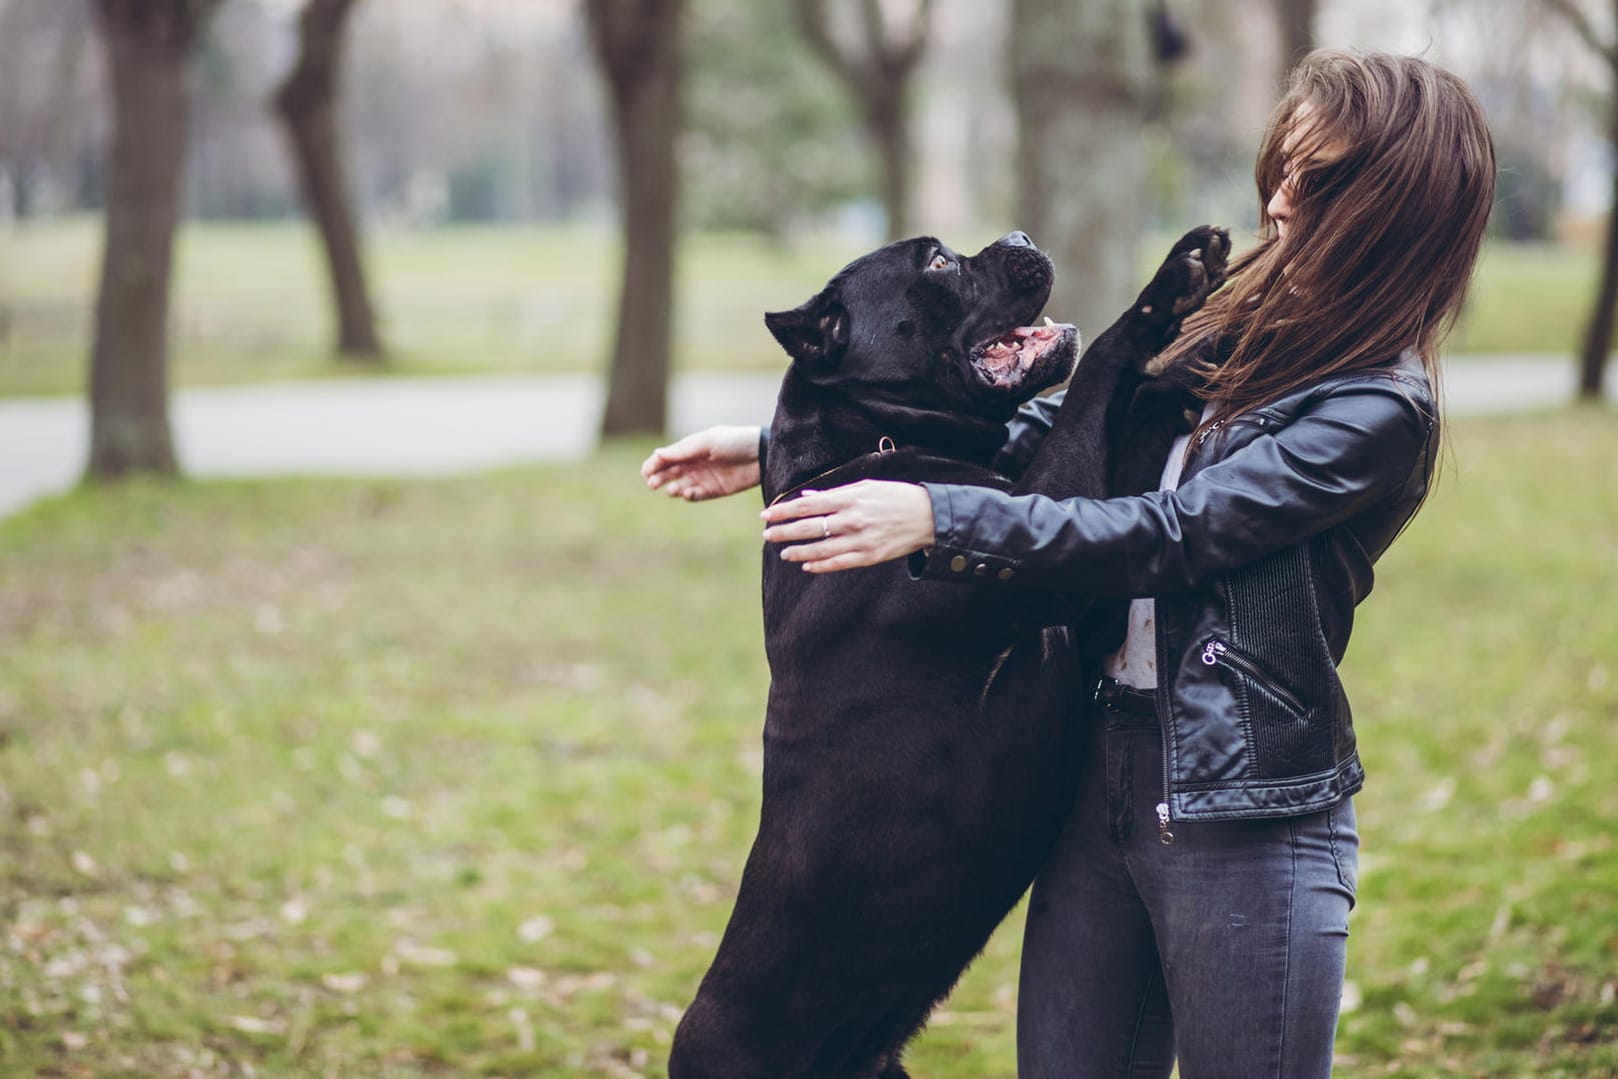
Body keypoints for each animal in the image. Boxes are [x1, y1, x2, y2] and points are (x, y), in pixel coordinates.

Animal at [669, 223, 1223, 1074]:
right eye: (935, 262)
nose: (1021, 235)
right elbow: (1095, 378)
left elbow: (1127, 428)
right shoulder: (1050, 547)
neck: (868, 446)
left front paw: (1193, 361)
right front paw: (1166, 292)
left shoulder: (1087, 576)